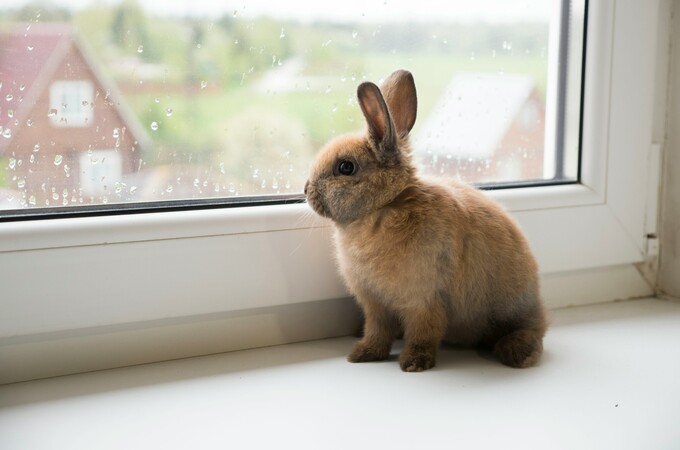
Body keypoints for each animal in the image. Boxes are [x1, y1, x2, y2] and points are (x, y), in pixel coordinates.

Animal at [306, 70, 548, 372]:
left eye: (346, 167)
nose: (306, 190)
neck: (385, 205)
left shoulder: (423, 300)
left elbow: (425, 331)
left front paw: (413, 363)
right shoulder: (375, 305)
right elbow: (377, 331)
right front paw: (363, 354)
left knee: (531, 331)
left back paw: (517, 353)